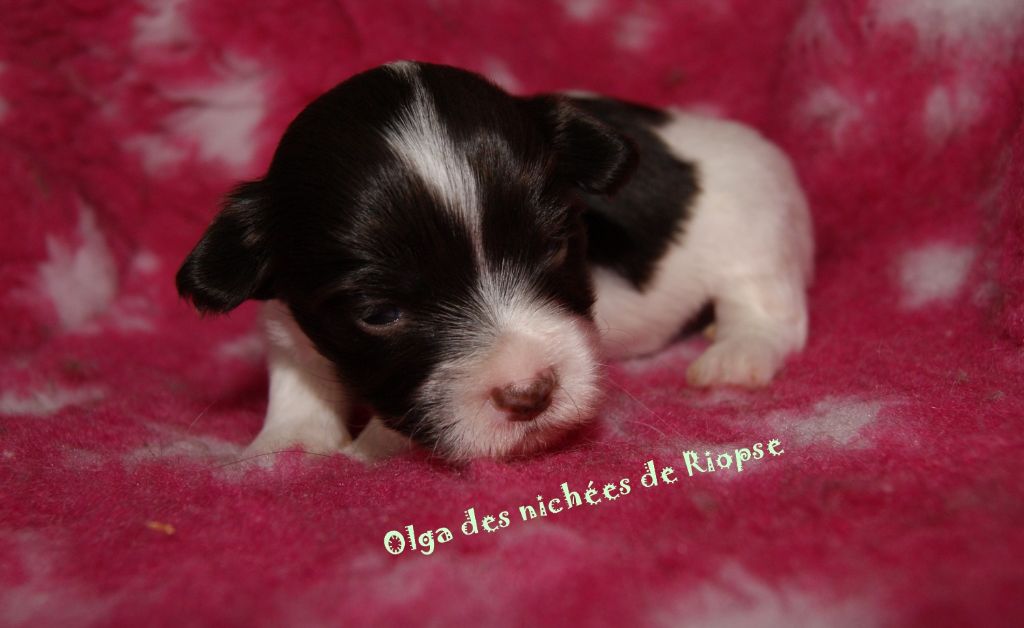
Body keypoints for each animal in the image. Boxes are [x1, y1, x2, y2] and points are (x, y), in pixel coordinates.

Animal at [176, 61, 813, 461]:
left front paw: (368, 450)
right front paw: (288, 445)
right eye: (379, 313)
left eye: (556, 247)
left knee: (770, 313)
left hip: (756, 240)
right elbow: (297, 377)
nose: (531, 395)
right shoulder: (288, 319)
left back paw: (734, 356)